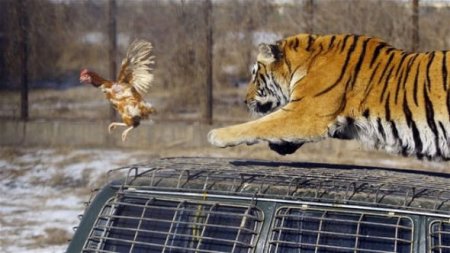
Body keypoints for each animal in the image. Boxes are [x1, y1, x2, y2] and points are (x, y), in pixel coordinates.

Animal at [208, 33, 450, 161]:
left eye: (254, 75)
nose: (244, 100)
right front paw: (281, 146)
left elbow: (262, 124)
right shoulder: (345, 121)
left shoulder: (306, 113)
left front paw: (216, 135)